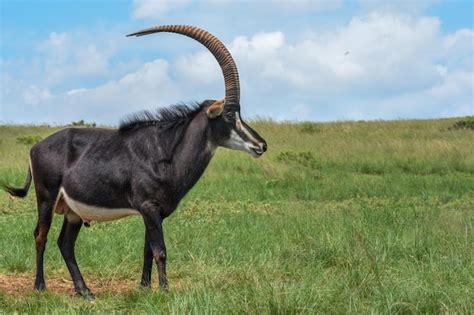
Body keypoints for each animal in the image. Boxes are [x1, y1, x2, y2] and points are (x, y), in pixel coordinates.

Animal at [2, 25, 266, 302]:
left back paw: (85, 291)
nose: (261, 145)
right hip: (46, 198)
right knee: (40, 235)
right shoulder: (149, 208)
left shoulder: (155, 213)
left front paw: (144, 287)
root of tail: (35, 147)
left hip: (73, 212)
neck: (165, 151)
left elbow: (147, 250)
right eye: (229, 115)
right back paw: (40, 286)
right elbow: (160, 250)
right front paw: (164, 290)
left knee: (65, 243)